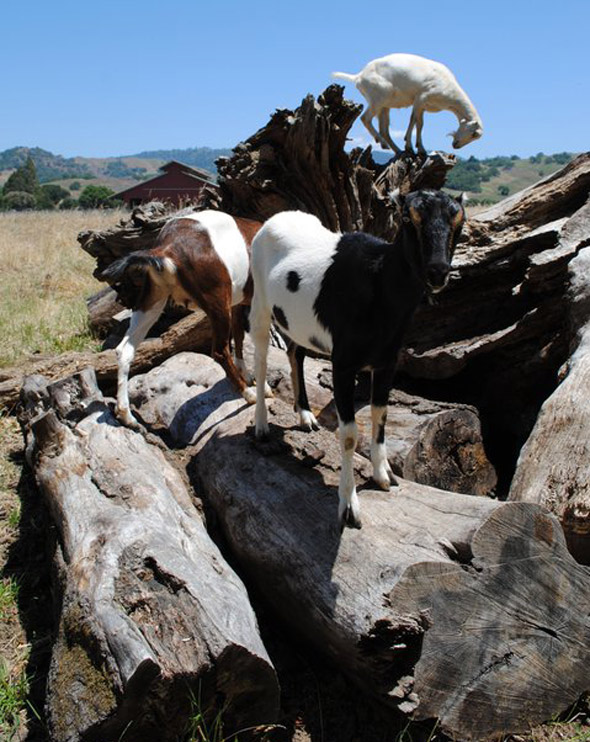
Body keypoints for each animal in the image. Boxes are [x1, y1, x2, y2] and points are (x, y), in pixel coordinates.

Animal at [99, 210, 262, 427]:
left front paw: (249, 374)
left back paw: (126, 415)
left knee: (124, 349)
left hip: (152, 299)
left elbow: (239, 335)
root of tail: (167, 247)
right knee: (219, 351)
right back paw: (249, 395)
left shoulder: (239, 301)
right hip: (217, 301)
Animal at [249, 190, 465, 529]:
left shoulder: (388, 361)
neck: (378, 283)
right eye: (408, 218)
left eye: (459, 221)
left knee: (296, 352)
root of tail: (277, 217)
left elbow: (381, 415)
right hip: (259, 298)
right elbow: (349, 435)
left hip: (299, 321)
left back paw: (305, 415)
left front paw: (383, 475)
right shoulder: (343, 362)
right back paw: (261, 425)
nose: (437, 271)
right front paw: (349, 506)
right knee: (260, 356)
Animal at [333, 53, 482, 157]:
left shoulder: (422, 105)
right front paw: (416, 148)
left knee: (384, 129)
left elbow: (416, 122)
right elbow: (417, 122)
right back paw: (382, 142)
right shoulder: (421, 98)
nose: (456, 145)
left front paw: (411, 146)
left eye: (475, 136)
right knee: (365, 118)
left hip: (384, 106)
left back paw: (396, 150)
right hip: (378, 99)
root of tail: (358, 76)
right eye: (473, 133)